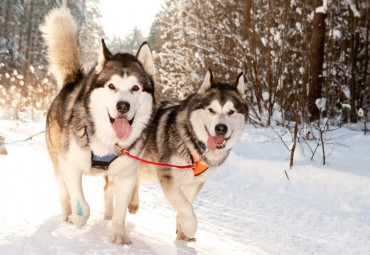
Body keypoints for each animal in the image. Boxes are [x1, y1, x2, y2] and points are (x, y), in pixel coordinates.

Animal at [127, 69, 249, 241]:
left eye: (231, 112)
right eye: (211, 110)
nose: (221, 128)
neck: (196, 145)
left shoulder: (194, 182)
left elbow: (187, 204)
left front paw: (182, 230)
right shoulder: (168, 177)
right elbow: (186, 207)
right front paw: (190, 228)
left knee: (136, 178)